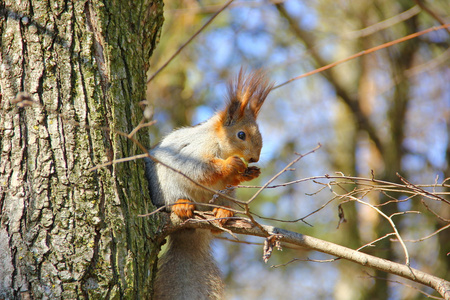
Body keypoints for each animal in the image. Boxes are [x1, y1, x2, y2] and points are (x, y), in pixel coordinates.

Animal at [144, 68, 272, 300]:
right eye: (241, 134)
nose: (254, 158)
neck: (219, 144)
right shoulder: (192, 154)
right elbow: (203, 170)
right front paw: (231, 165)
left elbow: (228, 179)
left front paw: (249, 174)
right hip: (167, 186)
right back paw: (182, 205)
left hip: (226, 194)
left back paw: (223, 212)